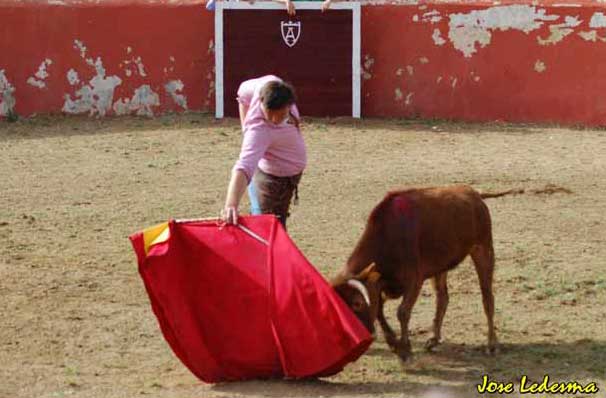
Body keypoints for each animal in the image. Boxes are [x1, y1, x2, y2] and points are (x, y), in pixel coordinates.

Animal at [332, 186, 524, 360]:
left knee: (487, 298)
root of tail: (474, 193)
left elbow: (402, 312)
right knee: (443, 297)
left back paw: (492, 344)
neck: (386, 238)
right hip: (440, 266)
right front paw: (394, 344)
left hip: (483, 249)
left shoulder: (414, 280)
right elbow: (379, 310)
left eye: (357, 303)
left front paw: (405, 350)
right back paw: (434, 339)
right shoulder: (382, 287)